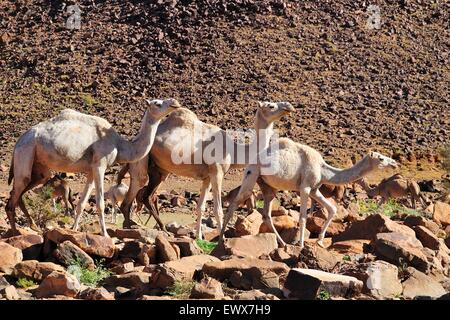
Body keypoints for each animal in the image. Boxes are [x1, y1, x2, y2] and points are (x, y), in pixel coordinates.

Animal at [5, 99, 181, 236]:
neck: (120, 145)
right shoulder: (99, 166)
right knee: (13, 198)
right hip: (26, 152)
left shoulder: (90, 170)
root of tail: (19, 141)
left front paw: (74, 229)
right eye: (158, 103)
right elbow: (100, 204)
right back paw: (14, 232)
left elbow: (81, 204)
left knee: (21, 192)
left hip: (39, 169)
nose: (175, 103)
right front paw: (105, 235)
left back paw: (33, 226)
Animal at [118, 101, 294, 239]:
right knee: (133, 193)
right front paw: (220, 239)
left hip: (159, 171)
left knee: (146, 196)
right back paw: (129, 229)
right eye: (271, 105)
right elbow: (218, 209)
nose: (288, 106)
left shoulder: (207, 177)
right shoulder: (217, 172)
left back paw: (161, 229)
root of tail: (133, 140)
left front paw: (198, 237)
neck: (233, 150)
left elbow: (200, 206)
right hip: (140, 162)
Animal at [220, 139, 400, 248]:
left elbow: (332, 209)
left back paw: (283, 244)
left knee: (266, 214)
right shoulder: (305, 188)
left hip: (267, 185)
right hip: (252, 173)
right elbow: (303, 217)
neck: (323, 169)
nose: (394, 162)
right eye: (381, 158)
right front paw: (300, 244)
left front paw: (319, 240)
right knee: (235, 203)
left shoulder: (314, 189)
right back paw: (221, 237)